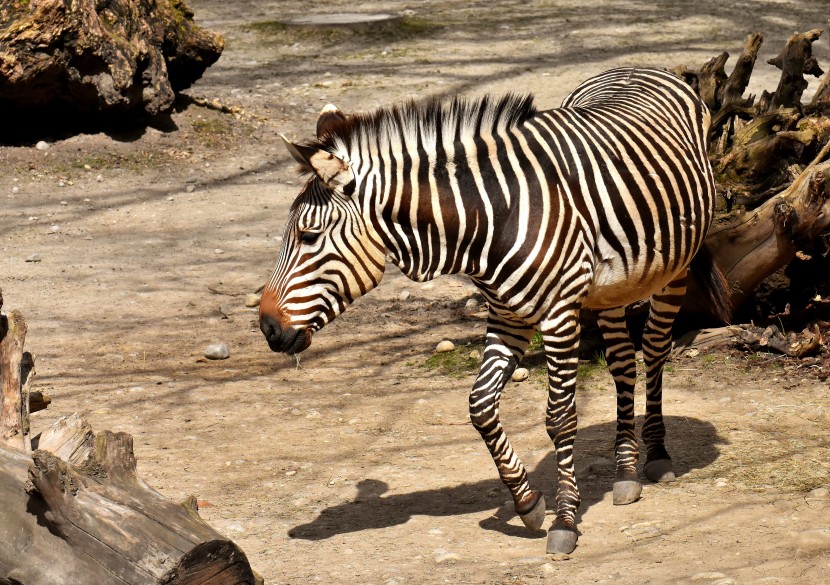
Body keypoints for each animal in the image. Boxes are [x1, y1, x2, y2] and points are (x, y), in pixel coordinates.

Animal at [258, 68, 728, 552]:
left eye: (309, 236)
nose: (268, 328)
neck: (489, 221)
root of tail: (638, 69)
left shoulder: (559, 315)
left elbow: (560, 419)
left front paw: (564, 520)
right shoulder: (506, 315)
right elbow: (480, 406)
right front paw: (528, 504)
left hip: (675, 266)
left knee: (652, 349)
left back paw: (657, 455)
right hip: (611, 287)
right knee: (621, 362)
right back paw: (626, 470)